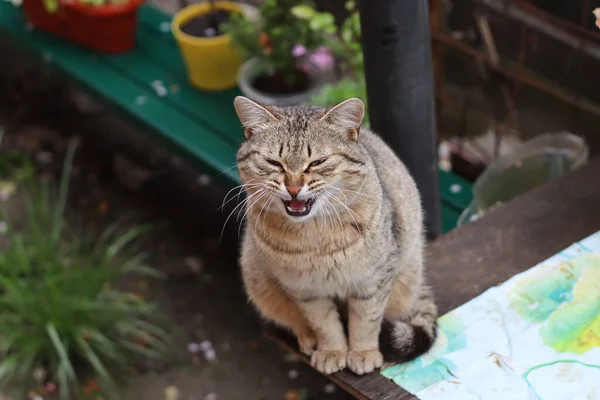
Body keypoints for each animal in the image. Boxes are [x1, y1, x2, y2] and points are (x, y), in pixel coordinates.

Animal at [233, 96, 436, 376]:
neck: (315, 235)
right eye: (274, 162)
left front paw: (363, 352)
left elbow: (366, 320)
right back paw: (308, 338)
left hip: (407, 278)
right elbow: (324, 324)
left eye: (317, 162)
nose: (294, 187)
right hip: (257, 281)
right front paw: (332, 351)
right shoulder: (305, 289)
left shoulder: (373, 280)